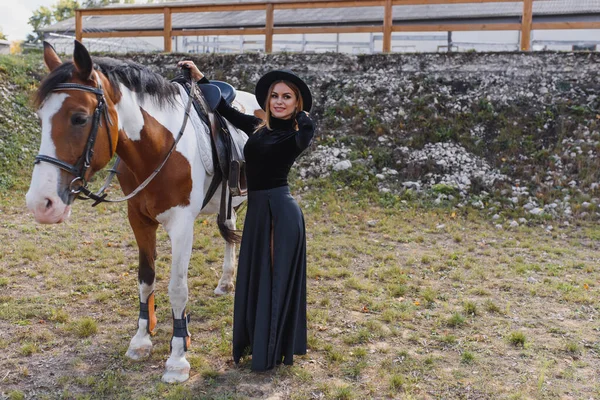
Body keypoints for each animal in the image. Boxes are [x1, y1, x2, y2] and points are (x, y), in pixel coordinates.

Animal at [24, 39, 258, 382]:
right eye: (41, 118)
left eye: (79, 118)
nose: (41, 203)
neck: (158, 147)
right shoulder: (139, 219)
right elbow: (146, 279)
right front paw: (141, 340)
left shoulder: (181, 225)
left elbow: (178, 288)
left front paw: (177, 358)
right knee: (228, 227)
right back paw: (226, 282)